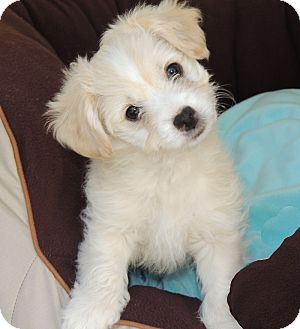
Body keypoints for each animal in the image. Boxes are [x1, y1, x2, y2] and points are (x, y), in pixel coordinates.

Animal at [46, 0, 246, 328]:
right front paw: (87, 312)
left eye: (173, 69)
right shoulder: (110, 226)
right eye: (132, 112)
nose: (186, 116)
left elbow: (223, 286)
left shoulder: (216, 232)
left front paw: (226, 319)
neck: (167, 167)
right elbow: (102, 271)